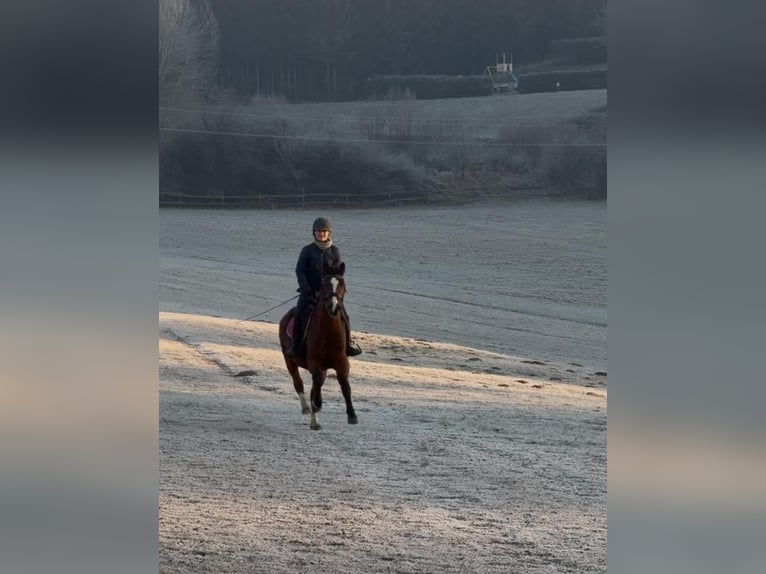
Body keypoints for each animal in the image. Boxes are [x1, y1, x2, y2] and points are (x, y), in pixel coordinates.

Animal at [278, 260, 358, 432]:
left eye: (342, 284)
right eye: (324, 284)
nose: (333, 306)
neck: (328, 331)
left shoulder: (341, 362)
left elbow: (345, 386)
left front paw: (352, 415)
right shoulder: (314, 363)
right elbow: (314, 386)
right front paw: (316, 411)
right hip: (290, 360)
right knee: (298, 383)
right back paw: (307, 409)